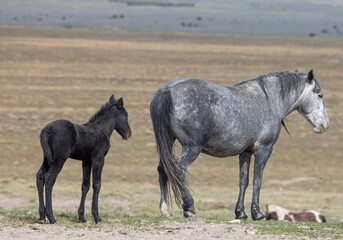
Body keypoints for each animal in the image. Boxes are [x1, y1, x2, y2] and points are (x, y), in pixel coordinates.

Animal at [151, 69, 330, 219]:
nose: (325, 124)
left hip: (168, 142)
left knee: (163, 170)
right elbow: (257, 180)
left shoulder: (245, 152)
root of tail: (167, 91)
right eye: (320, 95)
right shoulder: (264, 149)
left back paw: (165, 210)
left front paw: (240, 213)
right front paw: (257, 213)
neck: (269, 100)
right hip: (191, 148)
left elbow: (243, 181)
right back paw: (189, 207)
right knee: (179, 170)